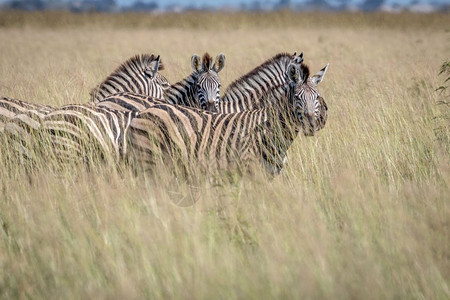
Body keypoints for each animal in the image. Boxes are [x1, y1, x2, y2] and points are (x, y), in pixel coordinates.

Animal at [128, 61, 328, 176]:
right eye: (297, 98)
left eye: (316, 97)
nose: (312, 124)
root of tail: (142, 113)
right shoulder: (250, 172)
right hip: (149, 162)